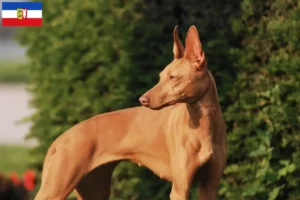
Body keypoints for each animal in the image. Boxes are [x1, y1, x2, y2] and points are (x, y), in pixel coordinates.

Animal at [34, 25, 225, 200]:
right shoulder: (180, 189)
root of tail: (59, 140)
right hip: (55, 189)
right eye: (160, 76)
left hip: (94, 189)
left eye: (173, 77)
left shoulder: (208, 187)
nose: (142, 99)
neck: (204, 125)